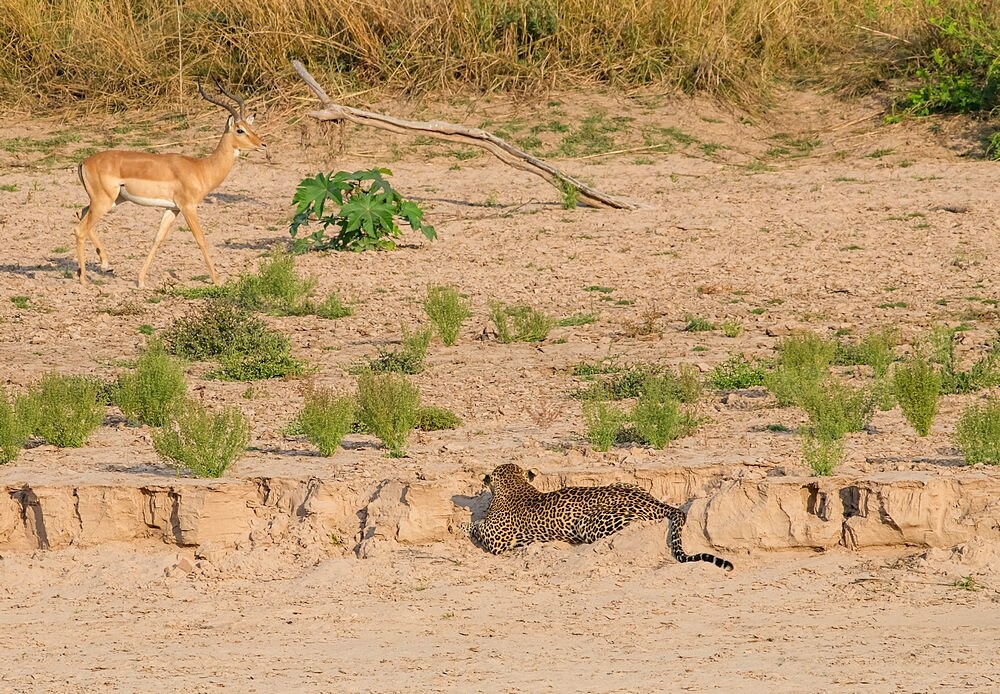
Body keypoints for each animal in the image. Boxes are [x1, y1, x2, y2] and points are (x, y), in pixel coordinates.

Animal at [462, 464, 736, 572]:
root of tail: (657, 502)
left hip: (589, 523)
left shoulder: (497, 541)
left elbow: (476, 526)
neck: (514, 484)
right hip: (625, 482)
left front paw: (462, 524)